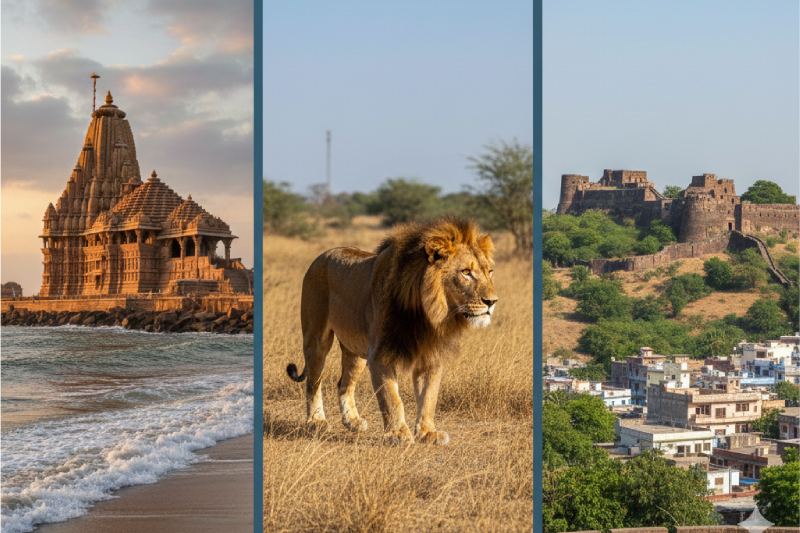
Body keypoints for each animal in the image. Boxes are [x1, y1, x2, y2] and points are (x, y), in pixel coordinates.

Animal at [286, 216, 498, 445]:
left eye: (489, 272)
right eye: (466, 272)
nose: (492, 302)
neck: (428, 314)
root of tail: (322, 256)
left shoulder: (431, 358)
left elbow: (429, 397)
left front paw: (428, 432)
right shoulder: (380, 355)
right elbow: (392, 398)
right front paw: (398, 434)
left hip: (356, 351)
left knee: (343, 383)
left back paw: (352, 421)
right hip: (316, 339)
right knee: (313, 382)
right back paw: (316, 421)